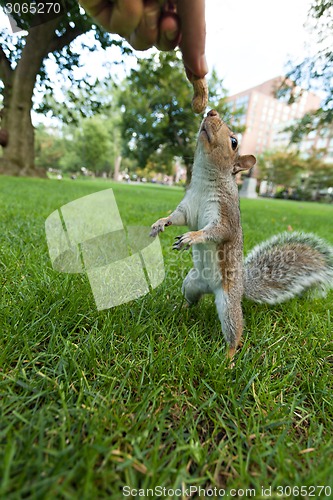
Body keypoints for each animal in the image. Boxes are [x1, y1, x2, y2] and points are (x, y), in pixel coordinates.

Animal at [149, 109, 332, 360]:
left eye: (234, 142)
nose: (211, 112)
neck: (204, 181)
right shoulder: (187, 208)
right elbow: (176, 218)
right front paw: (160, 223)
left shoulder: (226, 215)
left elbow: (215, 231)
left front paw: (191, 238)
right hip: (191, 283)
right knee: (192, 300)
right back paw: (181, 309)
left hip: (228, 304)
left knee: (235, 330)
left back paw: (228, 357)